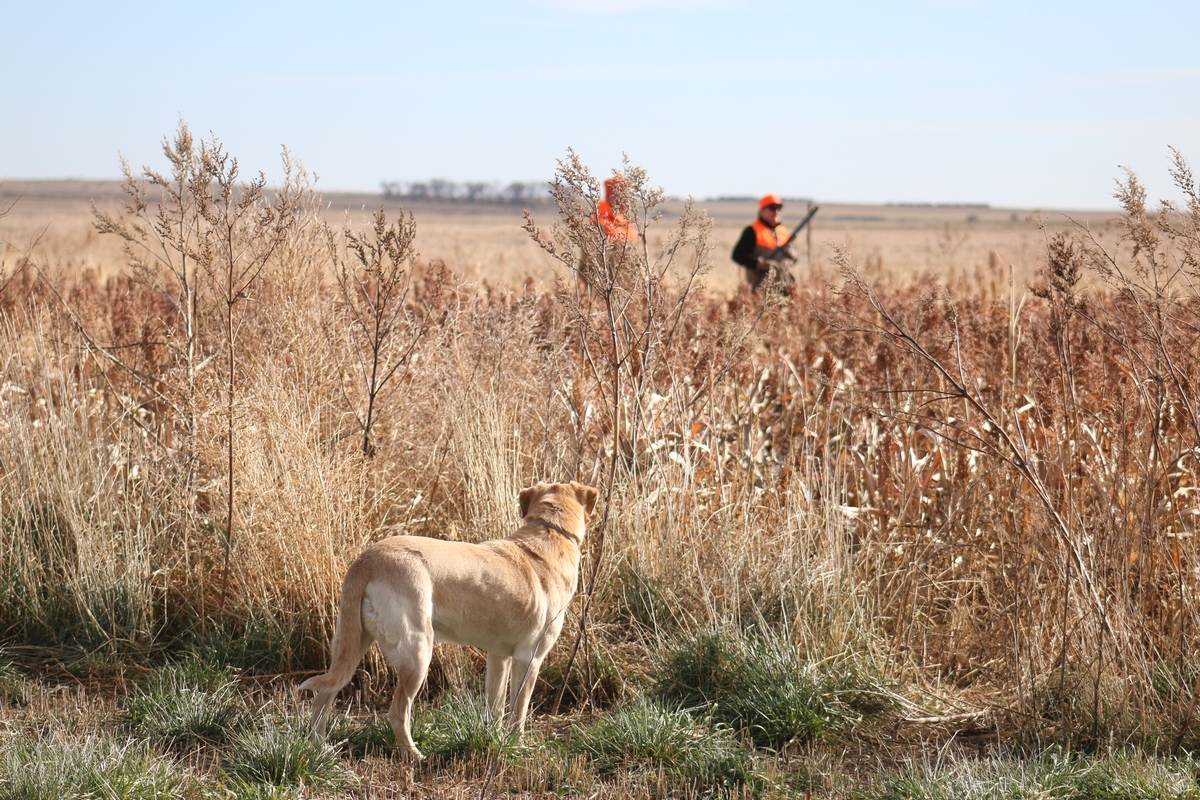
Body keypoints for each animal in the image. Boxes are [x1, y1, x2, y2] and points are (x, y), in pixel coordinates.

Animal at [300, 479, 600, 762]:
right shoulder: (529, 659)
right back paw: (414, 755)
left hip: (350, 644)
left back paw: (319, 748)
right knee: (397, 712)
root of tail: (367, 560)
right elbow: (518, 714)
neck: (551, 533)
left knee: (324, 695)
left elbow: (495, 708)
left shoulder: (499, 657)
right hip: (418, 652)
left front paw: (492, 740)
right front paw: (518, 746)